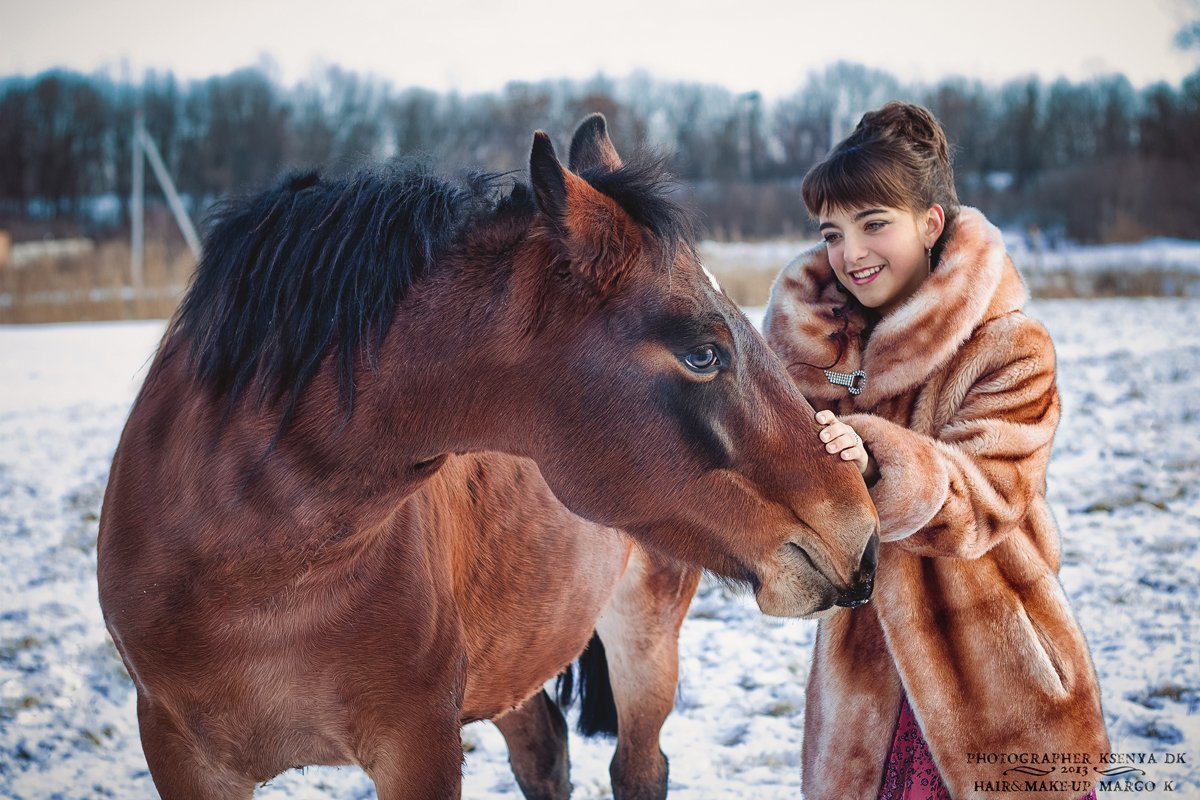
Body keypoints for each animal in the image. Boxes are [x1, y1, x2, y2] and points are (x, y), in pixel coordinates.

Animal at [96, 113, 883, 800]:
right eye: (701, 353)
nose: (864, 536)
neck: (253, 564)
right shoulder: (181, 753)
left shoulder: (418, 743)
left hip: (646, 639)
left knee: (637, 768)